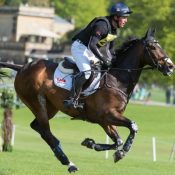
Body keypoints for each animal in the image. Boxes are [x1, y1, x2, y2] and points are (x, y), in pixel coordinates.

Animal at [0, 28, 174, 173]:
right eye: (152, 47)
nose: (170, 66)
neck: (117, 79)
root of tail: (22, 67)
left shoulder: (104, 120)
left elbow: (117, 140)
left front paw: (90, 143)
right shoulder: (109, 115)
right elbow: (133, 126)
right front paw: (122, 152)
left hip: (50, 107)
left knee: (37, 127)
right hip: (37, 103)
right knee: (46, 133)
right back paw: (69, 164)